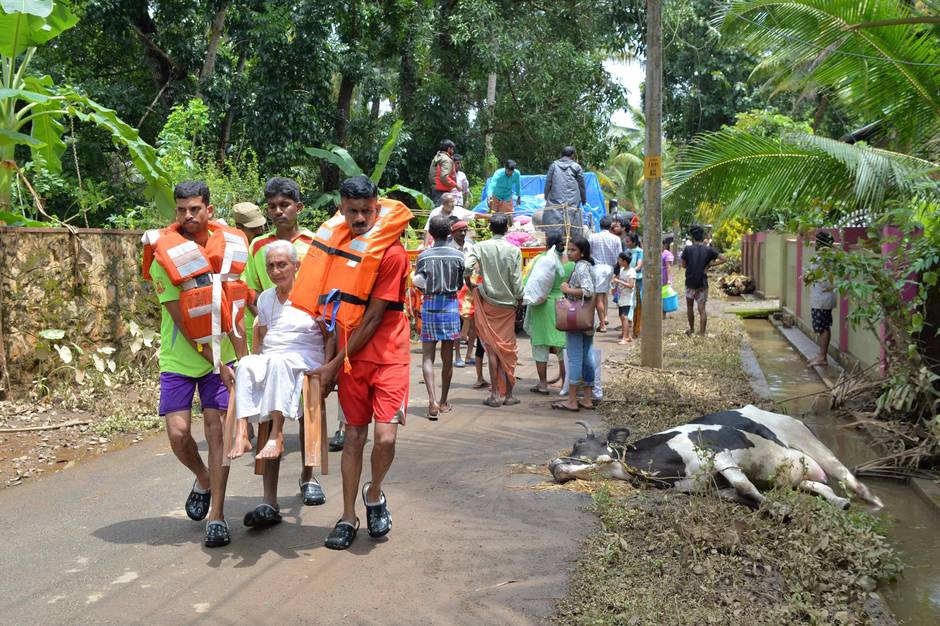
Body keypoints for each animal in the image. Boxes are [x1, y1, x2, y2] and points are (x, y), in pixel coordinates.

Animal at [548, 402, 884, 510]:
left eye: (579, 444)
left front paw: (778, 509)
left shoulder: (721, 457)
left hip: (813, 445)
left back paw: (873, 501)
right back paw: (840, 503)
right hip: (798, 474)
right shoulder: (710, 488)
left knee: (847, 478)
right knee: (819, 486)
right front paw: (772, 507)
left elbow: (745, 485)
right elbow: (743, 494)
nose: (553, 464)